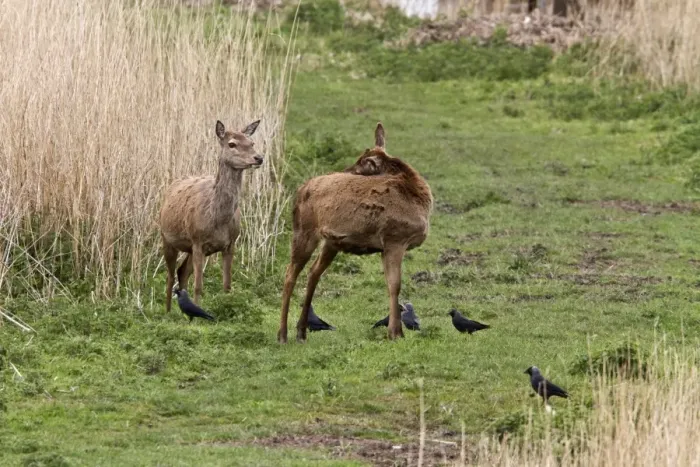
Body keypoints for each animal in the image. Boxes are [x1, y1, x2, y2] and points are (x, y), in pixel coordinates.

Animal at [159, 119, 263, 313]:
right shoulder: (198, 240)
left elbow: (227, 284)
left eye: (251, 143)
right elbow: (198, 286)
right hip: (167, 238)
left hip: (190, 247)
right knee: (170, 276)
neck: (217, 219)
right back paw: (168, 312)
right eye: (232, 144)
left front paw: (228, 307)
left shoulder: (230, 243)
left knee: (182, 272)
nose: (259, 158)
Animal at [278, 122, 433, 344]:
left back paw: (301, 331)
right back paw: (282, 334)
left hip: (331, 242)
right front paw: (395, 333)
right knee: (290, 273)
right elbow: (395, 285)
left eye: (361, 164)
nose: (345, 171)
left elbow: (391, 284)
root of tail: (299, 191)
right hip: (304, 231)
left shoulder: (388, 245)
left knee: (313, 272)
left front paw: (396, 331)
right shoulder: (394, 238)